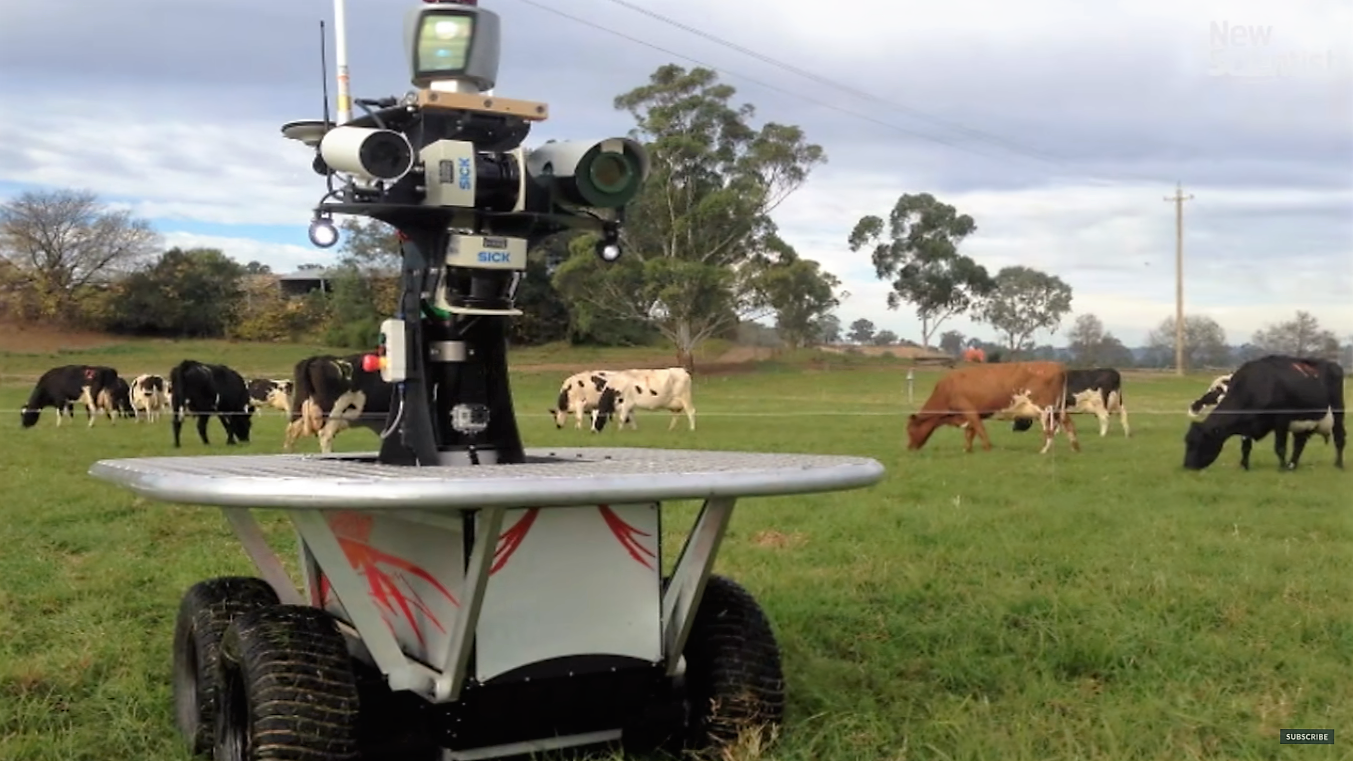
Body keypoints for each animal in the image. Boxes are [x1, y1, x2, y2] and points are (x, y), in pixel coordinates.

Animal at [903, 360, 1082, 452]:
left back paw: (1043, 451)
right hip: (1059, 409)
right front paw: (967, 450)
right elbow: (970, 433)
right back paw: (1075, 449)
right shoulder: (974, 413)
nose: (909, 448)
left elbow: (979, 430)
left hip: (1045, 409)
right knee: (1070, 425)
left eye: (910, 430)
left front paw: (988, 449)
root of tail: (1057, 366)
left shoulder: (969, 410)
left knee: (1049, 431)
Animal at [1185, 354, 1342, 471]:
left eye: (1198, 442)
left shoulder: (1281, 421)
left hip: (1337, 411)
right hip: (1304, 421)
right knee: (1300, 442)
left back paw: (1339, 464)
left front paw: (1282, 468)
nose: (1187, 466)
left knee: (1340, 437)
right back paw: (1292, 465)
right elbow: (1246, 447)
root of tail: (1332, 364)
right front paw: (1244, 466)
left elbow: (1279, 447)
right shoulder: (1247, 423)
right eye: (1187, 441)